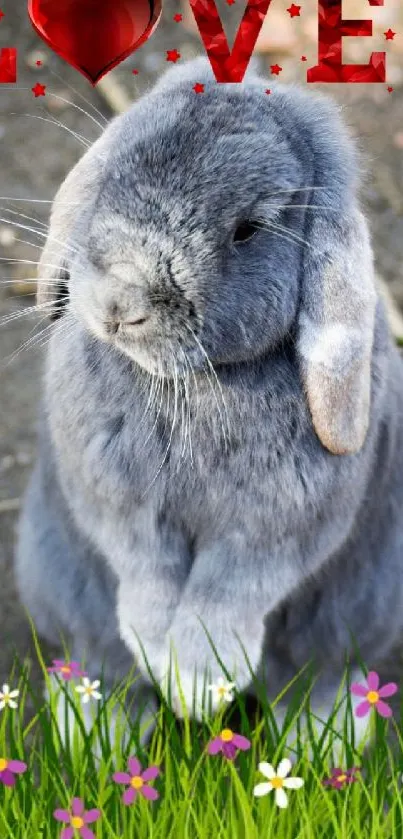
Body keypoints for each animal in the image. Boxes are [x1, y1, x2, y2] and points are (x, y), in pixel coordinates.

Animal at [15, 57, 403, 756]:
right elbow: (145, 572)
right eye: (112, 174)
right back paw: (99, 734)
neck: (194, 382)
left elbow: (229, 592)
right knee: (99, 660)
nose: (119, 302)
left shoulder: (273, 532)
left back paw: (327, 740)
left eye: (247, 230)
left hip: (359, 607)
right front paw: (168, 665)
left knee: (315, 673)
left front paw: (199, 686)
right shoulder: (121, 509)